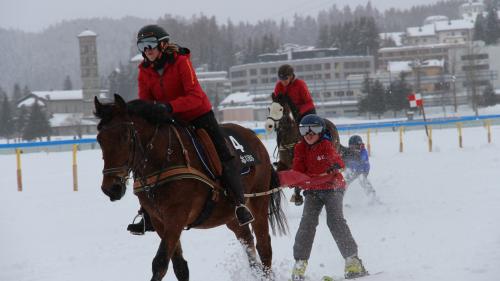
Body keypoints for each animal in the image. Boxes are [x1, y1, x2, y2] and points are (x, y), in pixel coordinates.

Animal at [95, 94, 288, 280]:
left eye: (125, 137)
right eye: (99, 139)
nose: (110, 188)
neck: (164, 157)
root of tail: (254, 137)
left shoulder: (176, 217)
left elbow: (160, 263)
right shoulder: (159, 221)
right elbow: (179, 266)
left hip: (258, 202)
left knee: (264, 247)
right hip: (230, 215)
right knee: (247, 241)